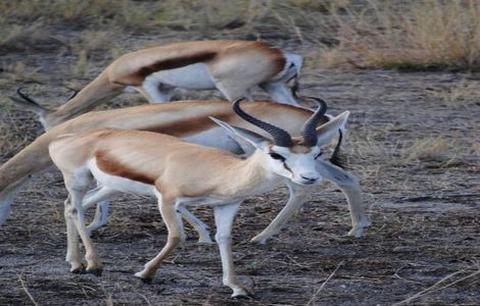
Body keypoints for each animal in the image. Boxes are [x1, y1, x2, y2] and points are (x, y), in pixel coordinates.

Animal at [0, 98, 370, 244]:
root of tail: (320, 118)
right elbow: (105, 196)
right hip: (315, 163)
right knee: (346, 178)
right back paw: (356, 229)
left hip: (293, 169)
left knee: (302, 189)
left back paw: (263, 236)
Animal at [9, 40, 302, 130]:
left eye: (44, 124)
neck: (115, 69)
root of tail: (280, 53)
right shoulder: (166, 89)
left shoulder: (146, 87)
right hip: (274, 87)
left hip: (234, 92)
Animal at [48, 100, 344, 296]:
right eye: (276, 154)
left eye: (316, 153)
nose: (309, 178)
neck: (219, 172)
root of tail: (62, 139)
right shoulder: (167, 199)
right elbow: (177, 236)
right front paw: (145, 273)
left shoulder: (226, 206)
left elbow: (224, 238)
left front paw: (236, 286)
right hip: (78, 180)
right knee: (75, 209)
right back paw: (93, 265)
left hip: (109, 188)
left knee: (70, 206)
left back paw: (75, 263)